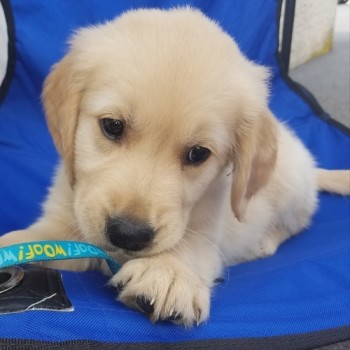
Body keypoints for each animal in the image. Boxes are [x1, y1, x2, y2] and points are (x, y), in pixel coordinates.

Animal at [0, 7, 350, 326]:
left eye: (198, 154)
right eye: (112, 126)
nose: (129, 235)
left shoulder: (209, 230)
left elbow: (190, 246)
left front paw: (168, 271)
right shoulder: (61, 225)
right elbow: (27, 240)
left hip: (290, 189)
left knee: (296, 223)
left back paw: (263, 242)